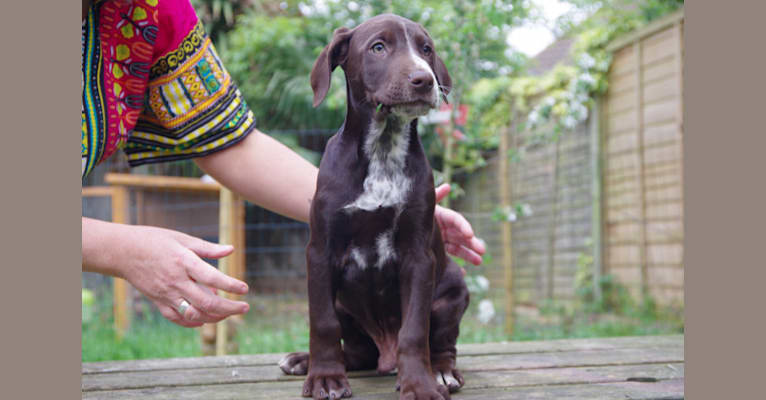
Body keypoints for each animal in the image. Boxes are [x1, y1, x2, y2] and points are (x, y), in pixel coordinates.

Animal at [282, 13, 472, 400]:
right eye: (378, 47)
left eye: (426, 49)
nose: (424, 80)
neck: (384, 147)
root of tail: (385, 356)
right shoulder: (320, 251)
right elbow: (322, 322)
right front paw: (325, 377)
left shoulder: (418, 256)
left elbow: (414, 330)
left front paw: (420, 384)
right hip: (346, 307)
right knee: (355, 352)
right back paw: (304, 360)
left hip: (454, 290)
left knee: (441, 344)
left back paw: (442, 371)